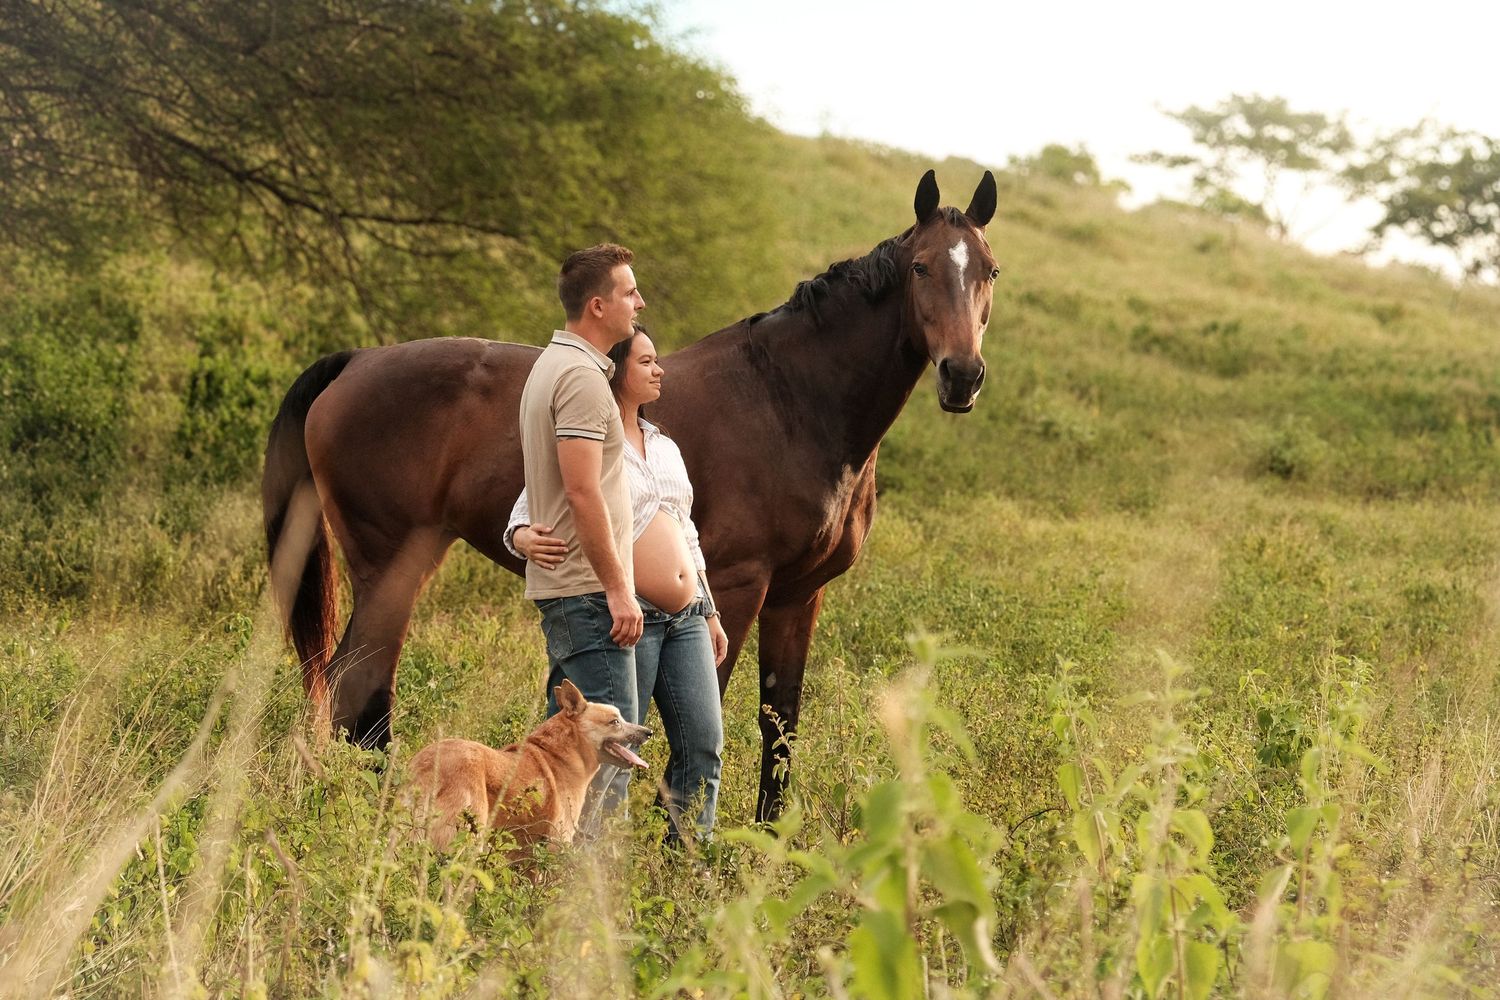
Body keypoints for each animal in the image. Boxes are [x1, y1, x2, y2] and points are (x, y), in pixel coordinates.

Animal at [263, 169, 999, 821]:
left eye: (988, 270)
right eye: (921, 268)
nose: (962, 375)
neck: (788, 398)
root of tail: (356, 360)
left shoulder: (798, 595)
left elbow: (779, 725)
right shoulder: (735, 587)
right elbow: (703, 721)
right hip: (392, 564)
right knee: (356, 686)